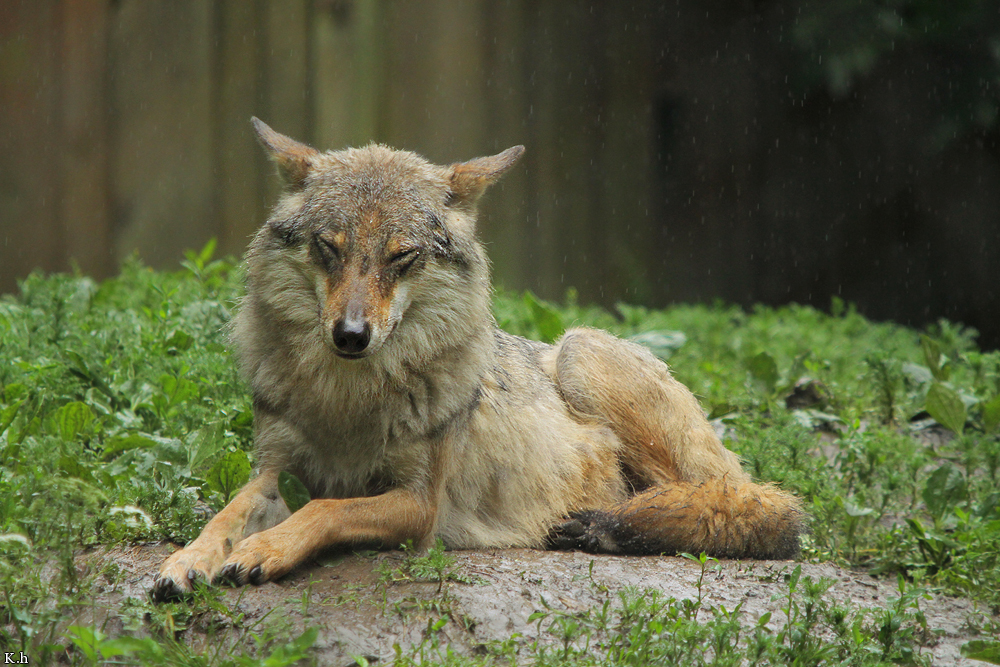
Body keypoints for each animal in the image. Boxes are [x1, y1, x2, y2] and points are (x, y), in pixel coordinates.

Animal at [152, 118, 804, 600]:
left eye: (401, 256)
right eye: (328, 248)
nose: (351, 335)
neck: (347, 400)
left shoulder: (418, 504)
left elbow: (325, 509)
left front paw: (265, 549)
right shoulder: (271, 473)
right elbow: (226, 514)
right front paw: (188, 560)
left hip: (583, 351)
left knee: (752, 509)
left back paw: (607, 526)